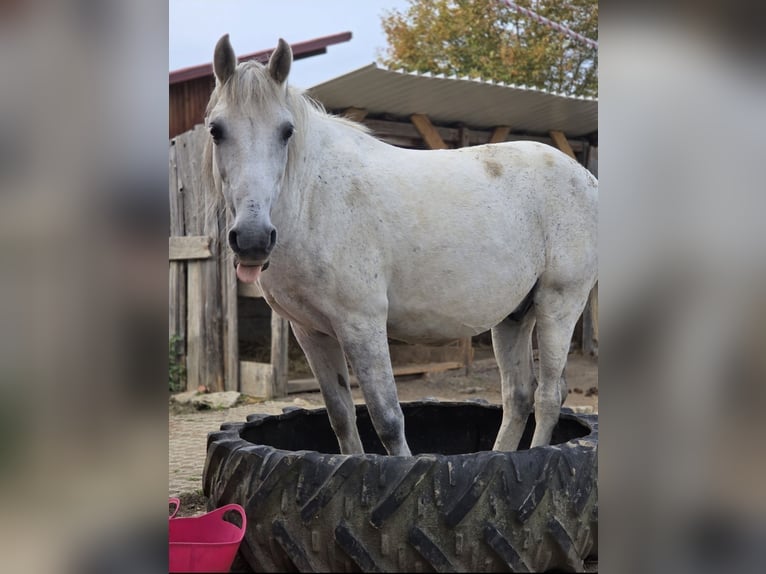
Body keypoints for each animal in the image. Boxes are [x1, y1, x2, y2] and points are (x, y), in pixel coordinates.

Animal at [203, 35, 598, 456]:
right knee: (519, 396)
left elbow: (387, 419)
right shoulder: (311, 332)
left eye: (286, 131)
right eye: (216, 130)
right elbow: (341, 416)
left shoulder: (362, 324)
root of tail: (585, 176)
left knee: (548, 396)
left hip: (558, 304)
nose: (253, 239)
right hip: (514, 316)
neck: (312, 197)